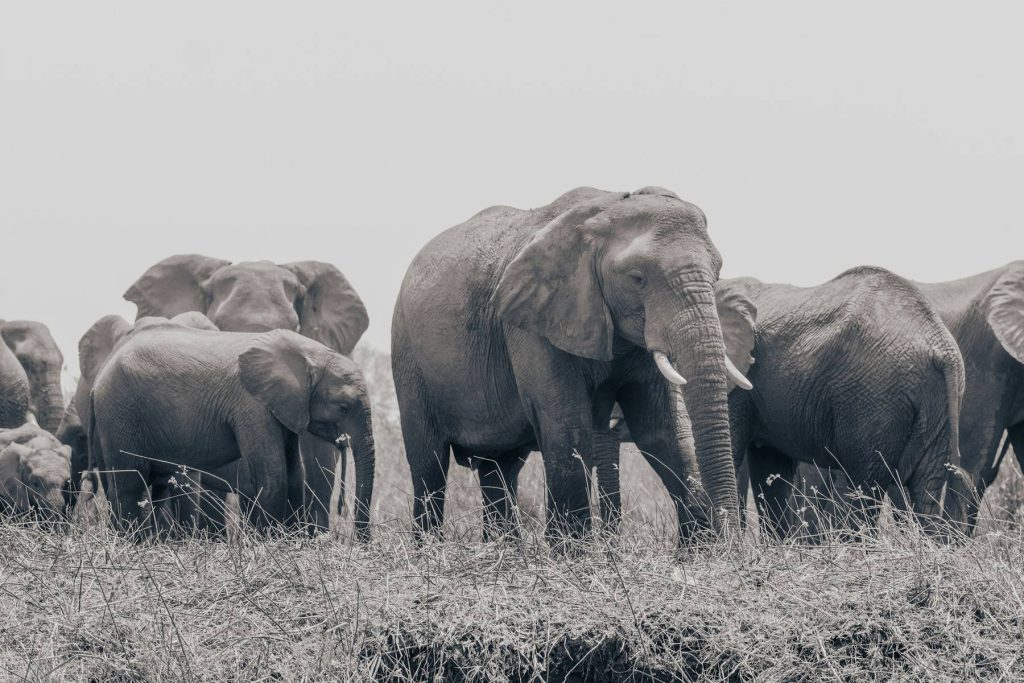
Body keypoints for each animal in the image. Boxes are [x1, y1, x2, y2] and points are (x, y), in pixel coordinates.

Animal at [90, 324, 375, 539]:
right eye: (343, 407)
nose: (360, 544)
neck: (309, 353)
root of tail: (98, 377)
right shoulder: (251, 405)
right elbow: (274, 476)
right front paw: (271, 545)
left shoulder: (283, 407)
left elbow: (294, 475)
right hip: (121, 414)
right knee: (130, 485)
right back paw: (133, 544)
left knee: (148, 487)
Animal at [392, 186, 752, 546]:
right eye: (637, 278)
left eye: (717, 273)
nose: (735, 544)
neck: (604, 210)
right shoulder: (533, 321)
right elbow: (568, 426)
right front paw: (573, 553)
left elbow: (661, 430)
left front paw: (703, 551)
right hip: (408, 356)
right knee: (429, 465)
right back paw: (430, 549)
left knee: (501, 468)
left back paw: (503, 550)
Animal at [721, 266, 968, 539]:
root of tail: (942, 347)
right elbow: (768, 465)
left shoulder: (741, 380)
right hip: (938, 404)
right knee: (925, 492)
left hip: (874, 399)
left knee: (864, 490)